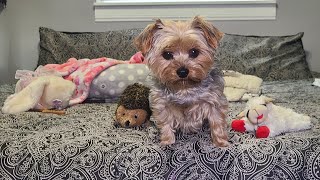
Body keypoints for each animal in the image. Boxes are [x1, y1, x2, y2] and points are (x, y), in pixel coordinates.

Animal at [134, 15, 229, 146]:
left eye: (194, 52)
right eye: (167, 54)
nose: (183, 72)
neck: (184, 88)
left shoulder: (215, 100)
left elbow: (217, 122)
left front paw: (221, 142)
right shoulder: (162, 104)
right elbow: (165, 123)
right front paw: (167, 142)